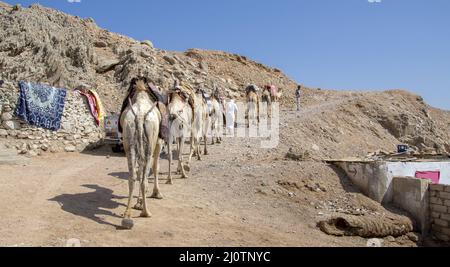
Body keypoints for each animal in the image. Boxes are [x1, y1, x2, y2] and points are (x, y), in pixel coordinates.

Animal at [120, 76, 163, 223]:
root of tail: (139, 116)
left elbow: (140, 170)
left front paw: (137, 203)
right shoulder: (158, 143)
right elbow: (155, 167)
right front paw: (157, 192)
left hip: (129, 140)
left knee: (132, 176)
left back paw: (127, 214)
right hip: (150, 142)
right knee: (144, 177)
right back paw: (146, 212)